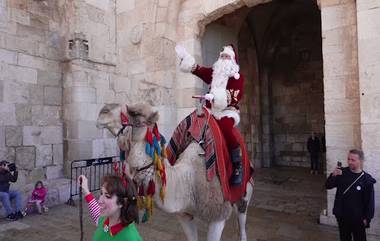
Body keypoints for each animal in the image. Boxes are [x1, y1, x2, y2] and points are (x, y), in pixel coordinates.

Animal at [96, 103, 254, 241]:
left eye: (136, 114)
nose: (103, 111)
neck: (189, 179)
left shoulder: (218, 215)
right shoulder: (184, 215)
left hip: (245, 192)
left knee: (242, 220)